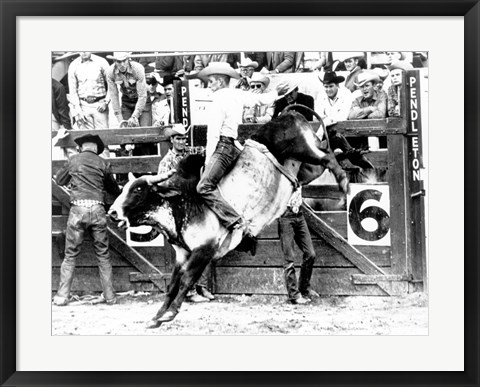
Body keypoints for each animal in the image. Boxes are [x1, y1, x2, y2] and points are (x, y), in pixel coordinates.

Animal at [109, 110, 348, 330]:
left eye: (138, 190)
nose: (112, 212)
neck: (182, 201)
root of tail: (290, 113)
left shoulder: (205, 250)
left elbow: (186, 281)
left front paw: (169, 313)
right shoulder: (183, 254)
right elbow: (172, 285)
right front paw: (157, 316)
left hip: (304, 150)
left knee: (327, 157)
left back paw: (344, 181)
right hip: (306, 169)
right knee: (326, 154)